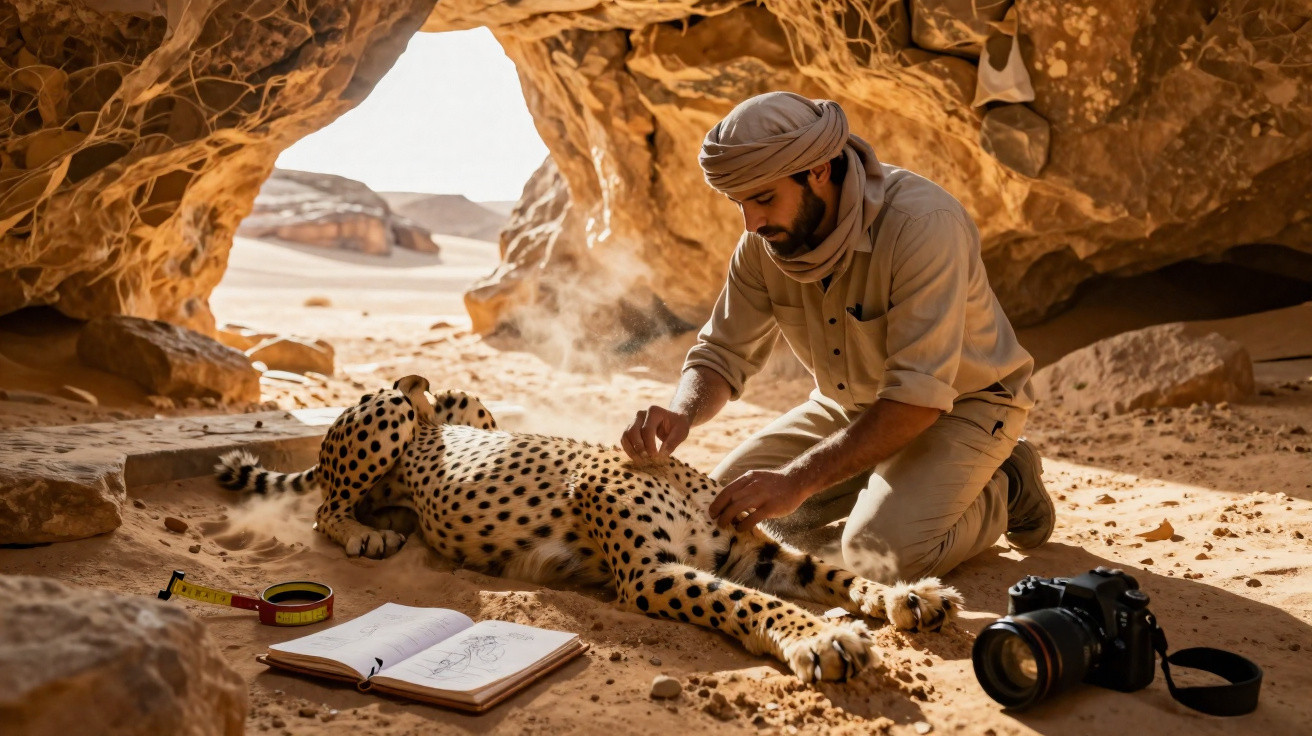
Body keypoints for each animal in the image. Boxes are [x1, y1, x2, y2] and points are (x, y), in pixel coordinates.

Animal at [215, 375, 964, 683]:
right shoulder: (651, 574)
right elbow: (751, 601)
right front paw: (822, 636)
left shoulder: (746, 551)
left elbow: (829, 570)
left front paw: (907, 596)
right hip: (393, 408)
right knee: (325, 508)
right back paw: (364, 533)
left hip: (462, 402)